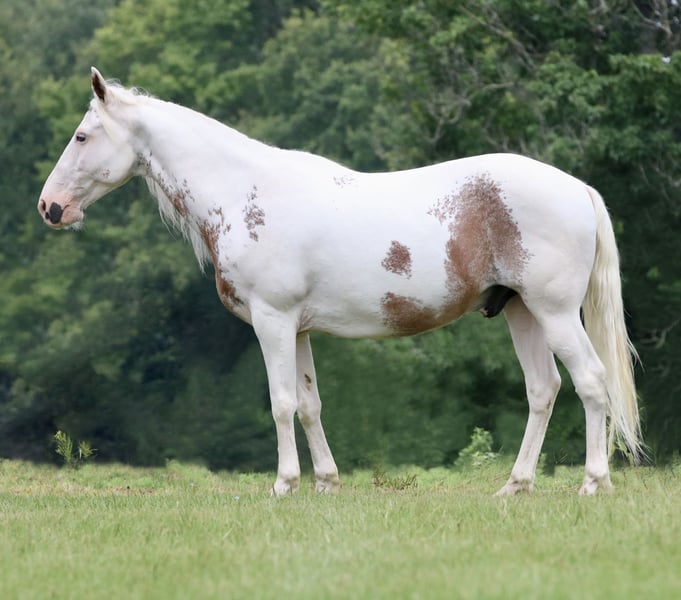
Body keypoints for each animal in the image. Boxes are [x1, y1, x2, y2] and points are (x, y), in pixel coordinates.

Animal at [38, 68, 642, 496]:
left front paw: (284, 485)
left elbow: (281, 401)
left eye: (82, 135)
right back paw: (514, 487)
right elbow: (310, 403)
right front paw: (326, 484)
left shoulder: (272, 321)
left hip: (555, 313)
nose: (50, 207)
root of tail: (578, 189)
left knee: (591, 384)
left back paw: (593, 484)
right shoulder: (299, 329)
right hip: (521, 312)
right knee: (544, 390)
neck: (244, 192)